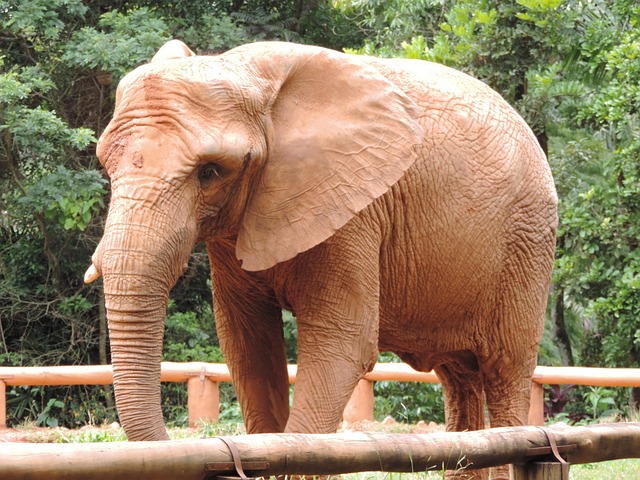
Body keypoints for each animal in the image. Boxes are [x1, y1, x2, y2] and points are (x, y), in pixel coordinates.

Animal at [85, 39, 557, 478]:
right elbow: (247, 345)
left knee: (505, 371)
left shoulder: (354, 208)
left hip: (527, 243)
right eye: (106, 164)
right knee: (459, 377)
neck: (248, 74)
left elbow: (342, 343)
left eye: (210, 172)